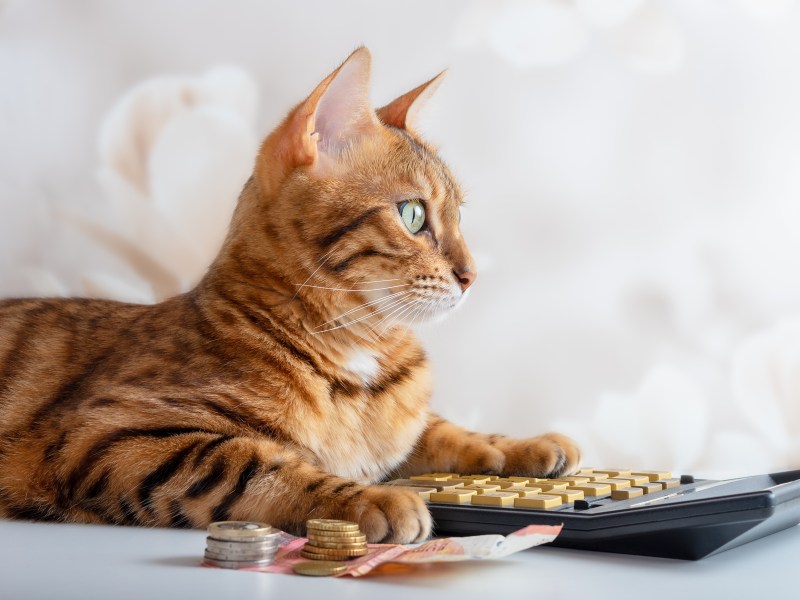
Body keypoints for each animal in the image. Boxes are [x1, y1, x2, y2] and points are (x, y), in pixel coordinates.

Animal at [0, 47, 580, 544]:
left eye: (460, 216)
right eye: (414, 214)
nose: (472, 275)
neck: (361, 359)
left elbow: (442, 430)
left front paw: (522, 444)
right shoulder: (112, 434)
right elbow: (254, 463)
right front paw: (369, 498)